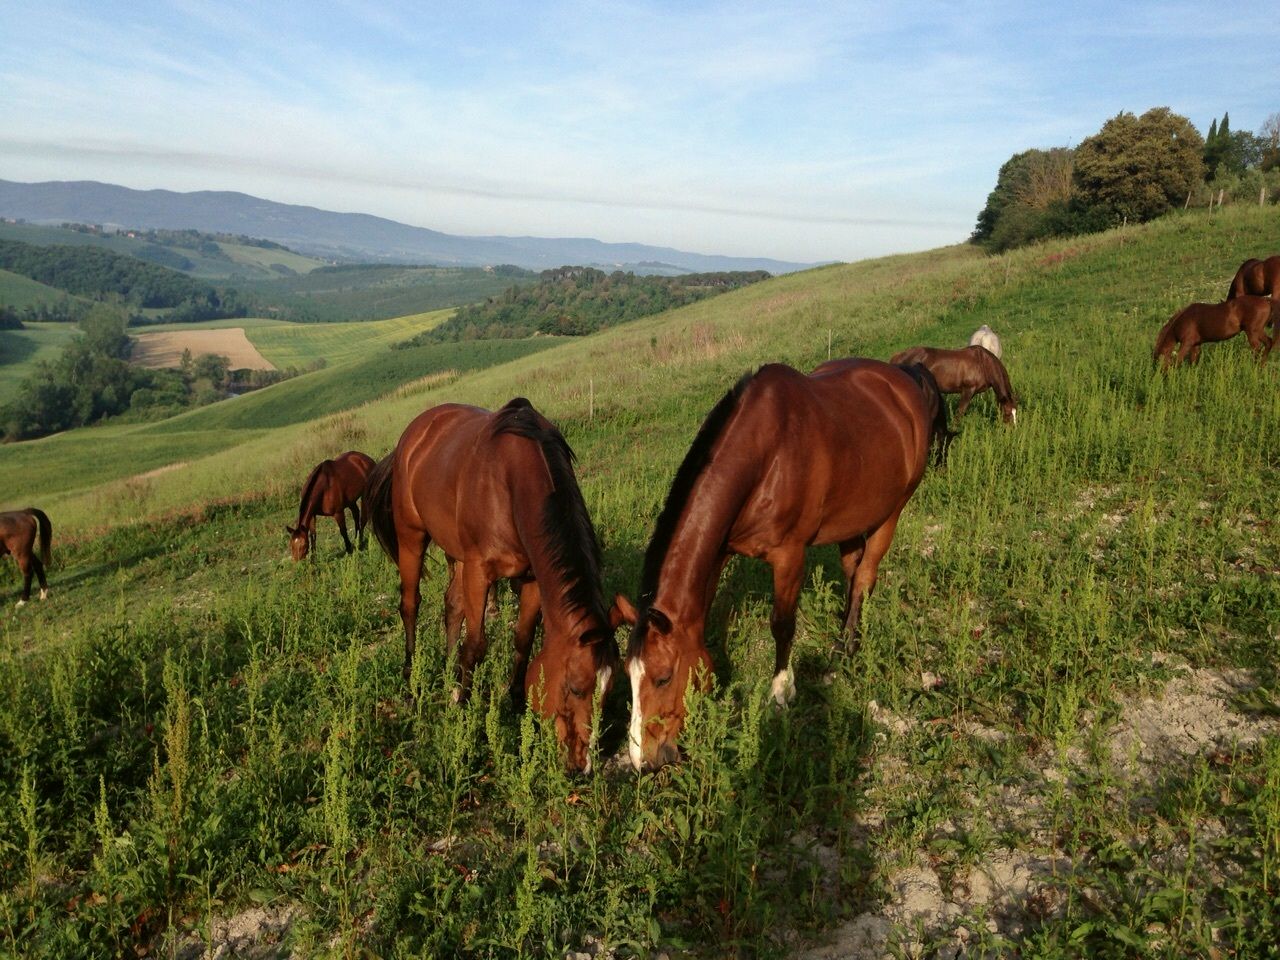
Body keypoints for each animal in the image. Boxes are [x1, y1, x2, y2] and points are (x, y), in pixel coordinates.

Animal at [364, 398, 628, 772]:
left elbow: (523, 638)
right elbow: (476, 645)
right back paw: (411, 677)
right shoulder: (480, 572)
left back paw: (449, 674)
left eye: (608, 690)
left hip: (455, 552)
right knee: (410, 604)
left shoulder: (531, 578)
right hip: (411, 537)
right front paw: (465, 716)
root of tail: (411, 437)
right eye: (576, 688)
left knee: (451, 605)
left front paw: (516, 703)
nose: (581, 765)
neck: (511, 484)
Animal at [625, 360, 934, 771]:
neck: (765, 457)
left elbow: (782, 625)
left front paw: (781, 690)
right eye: (628, 677)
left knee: (866, 576)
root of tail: (902, 376)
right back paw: (843, 636)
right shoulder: (720, 551)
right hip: (853, 516)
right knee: (853, 572)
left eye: (662, 678)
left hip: (892, 511)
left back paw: (849, 646)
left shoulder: (789, 555)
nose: (643, 762)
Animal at [889, 345, 1017, 423]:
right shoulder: (968, 390)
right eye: (1008, 413)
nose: (1012, 431)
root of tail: (897, 357)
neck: (983, 363)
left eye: (1016, 412)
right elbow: (959, 413)